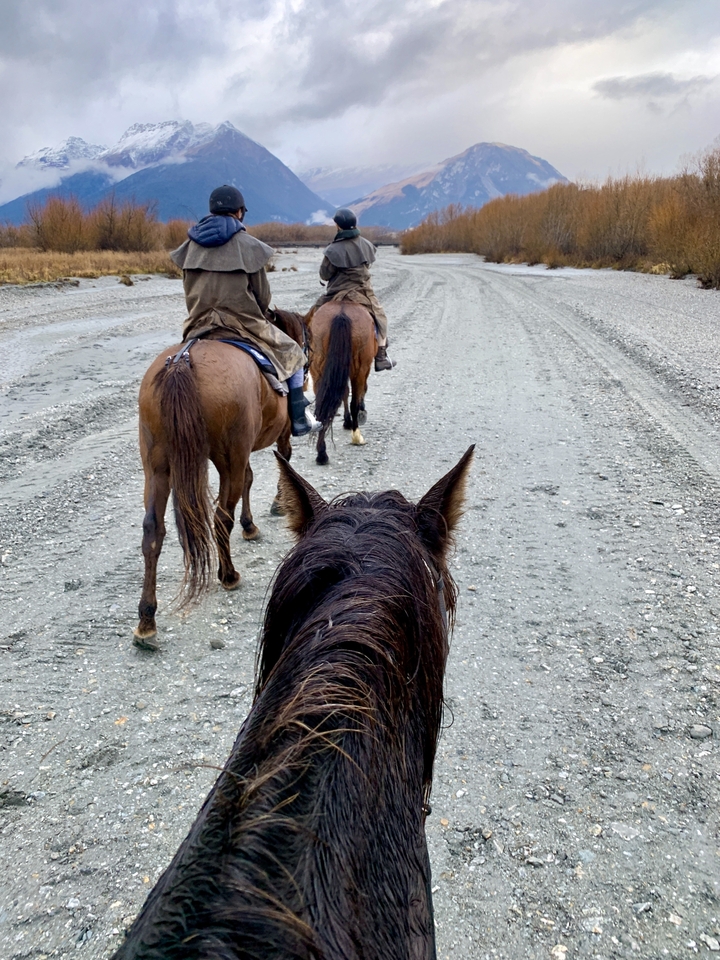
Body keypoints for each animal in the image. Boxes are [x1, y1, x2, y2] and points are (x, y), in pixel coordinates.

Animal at [134, 310, 308, 648]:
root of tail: (182, 361)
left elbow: (251, 479)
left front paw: (250, 524)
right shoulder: (272, 438)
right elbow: (281, 461)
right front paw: (275, 505)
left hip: (157, 466)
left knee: (153, 530)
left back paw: (146, 619)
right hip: (228, 459)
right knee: (220, 518)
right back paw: (228, 575)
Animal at [308, 302, 376, 466]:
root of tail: (341, 313)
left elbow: (344, 392)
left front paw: (346, 421)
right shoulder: (364, 369)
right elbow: (358, 392)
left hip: (318, 368)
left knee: (323, 405)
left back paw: (322, 453)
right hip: (360, 368)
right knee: (354, 401)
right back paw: (357, 436)